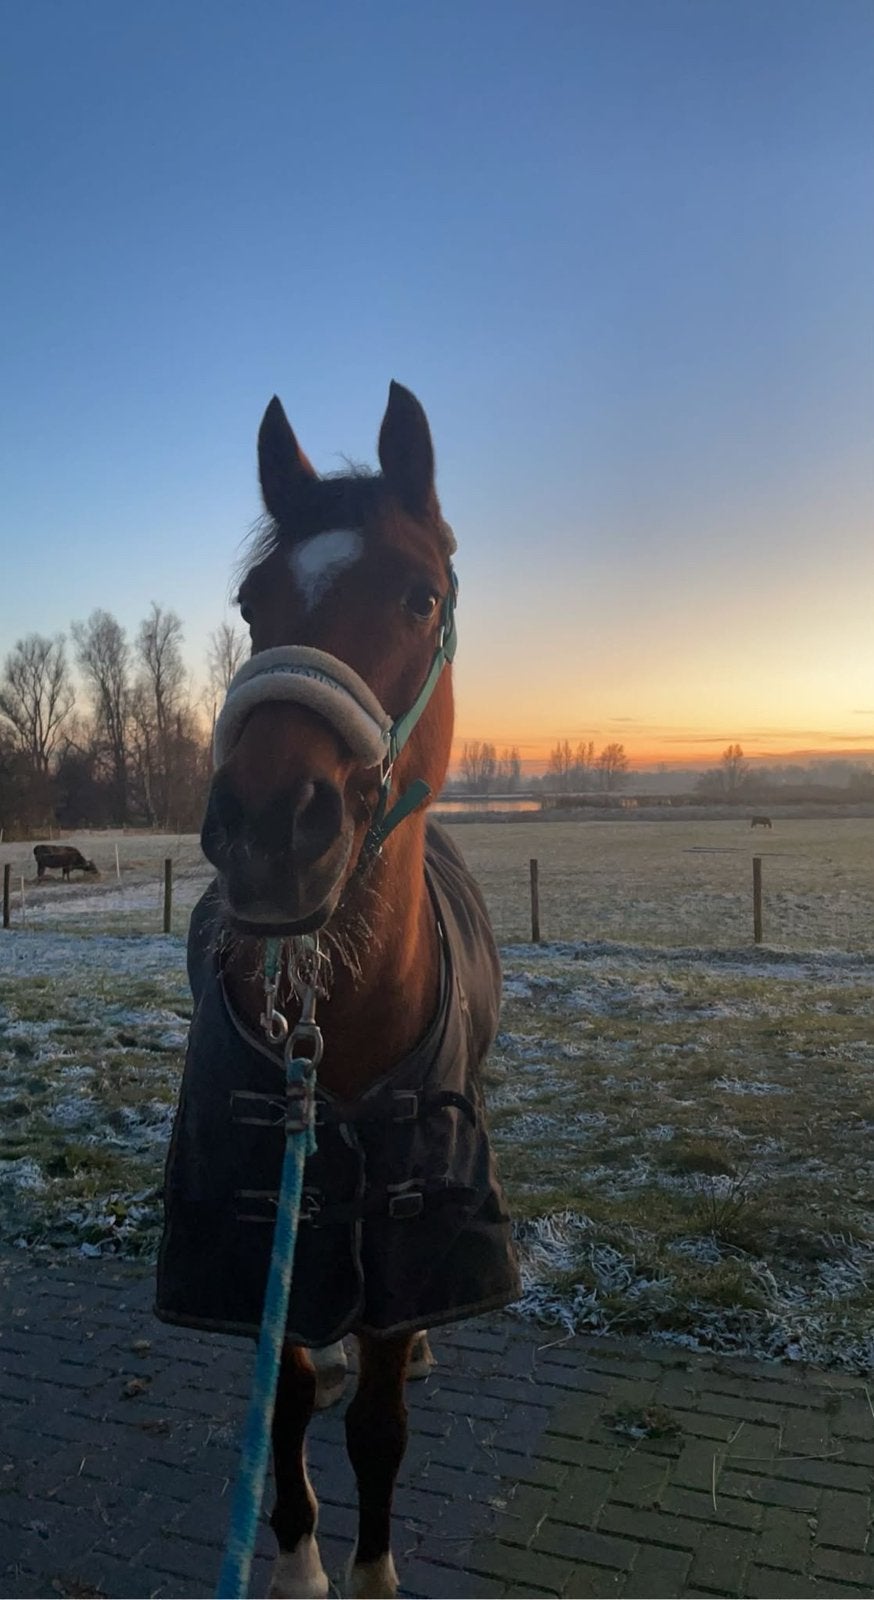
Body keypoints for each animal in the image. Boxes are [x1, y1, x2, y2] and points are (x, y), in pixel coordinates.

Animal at [155, 382, 519, 1598]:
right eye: (251, 602)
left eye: (421, 595)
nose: (270, 829)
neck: (337, 1043)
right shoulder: (267, 1229)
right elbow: (288, 1396)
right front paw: (299, 1560)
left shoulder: (408, 1250)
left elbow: (380, 1426)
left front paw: (368, 1572)